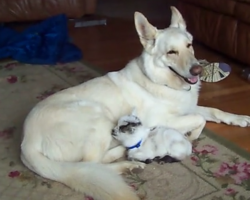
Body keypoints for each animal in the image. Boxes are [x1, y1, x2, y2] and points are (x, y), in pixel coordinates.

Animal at [21, 6, 250, 200]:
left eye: (189, 46)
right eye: (171, 52)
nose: (198, 70)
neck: (161, 81)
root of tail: (26, 143)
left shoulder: (188, 107)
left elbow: (213, 111)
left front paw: (239, 119)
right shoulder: (162, 120)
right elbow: (199, 118)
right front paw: (192, 135)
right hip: (98, 118)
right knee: (92, 165)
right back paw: (124, 161)